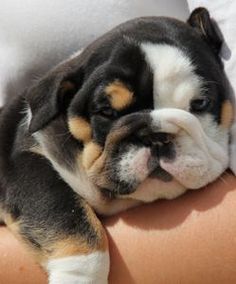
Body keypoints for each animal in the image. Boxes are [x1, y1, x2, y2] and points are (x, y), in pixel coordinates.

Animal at [0, 7, 233, 282]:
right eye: (107, 111)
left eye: (200, 103)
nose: (155, 136)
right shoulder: (25, 162)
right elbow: (66, 215)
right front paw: (78, 277)